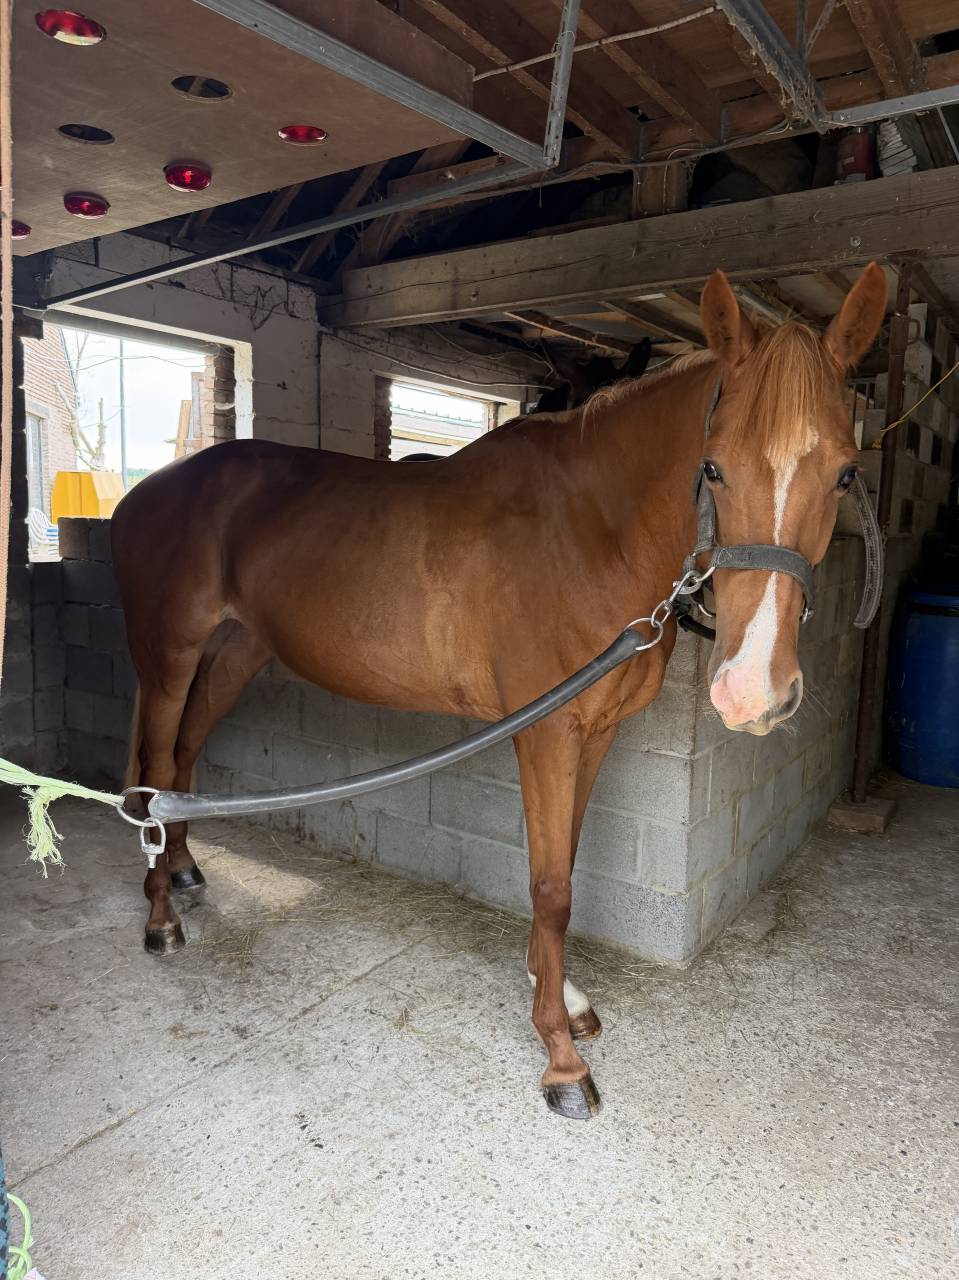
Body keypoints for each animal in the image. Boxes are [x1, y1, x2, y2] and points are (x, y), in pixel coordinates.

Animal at [111, 265, 887, 1119]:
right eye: (712, 466)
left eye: (846, 472)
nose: (751, 691)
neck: (587, 530)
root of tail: (147, 491)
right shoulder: (544, 732)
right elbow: (550, 886)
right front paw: (560, 1059)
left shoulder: (594, 729)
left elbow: (566, 863)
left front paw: (565, 999)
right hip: (168, 658)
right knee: (152, 773)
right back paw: (159, 919)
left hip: (234, 655)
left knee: (183, 760)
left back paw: (185, 875)